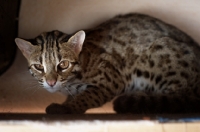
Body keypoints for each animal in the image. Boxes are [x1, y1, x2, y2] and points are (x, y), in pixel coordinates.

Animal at [14, 13, 200, 114]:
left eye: (64, 65)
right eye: (39, 66)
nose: (51, 82)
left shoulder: (112, 79)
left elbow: (87, 96)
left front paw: (66, 109)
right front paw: (66, 103)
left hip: (157, 52)